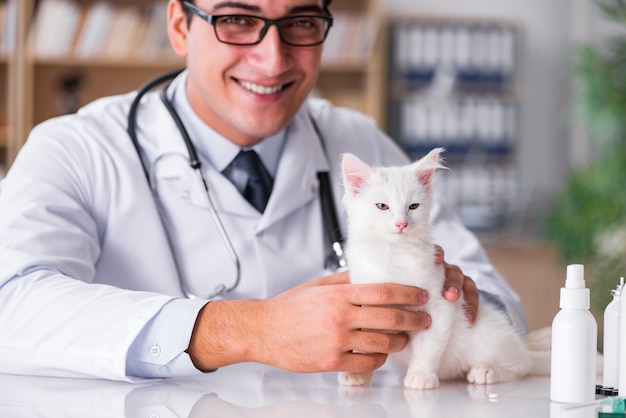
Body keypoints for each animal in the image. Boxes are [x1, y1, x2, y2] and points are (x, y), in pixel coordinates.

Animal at [336, 149, 528, 390]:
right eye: (382, 206)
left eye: (413, 207)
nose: (402, 224)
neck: (394, 254)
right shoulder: (367, 305)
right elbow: (365, 344)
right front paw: (358, 371)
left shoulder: (439, 306)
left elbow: (428, 348)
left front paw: (421, 375)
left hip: (487, 338)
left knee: (521, 366)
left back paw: (486, 371)